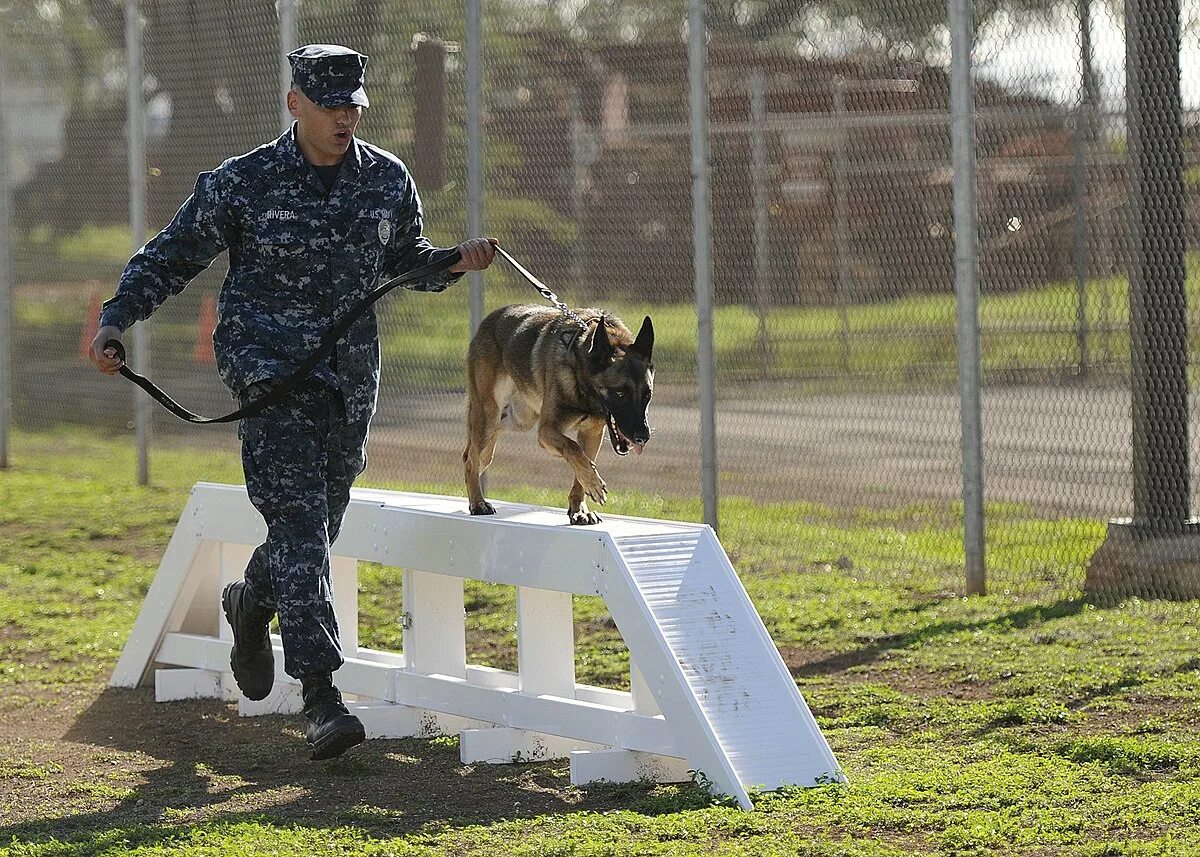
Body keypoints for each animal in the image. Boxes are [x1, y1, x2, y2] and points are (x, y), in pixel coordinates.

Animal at [463, 303, 657, 523]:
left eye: (647, 394)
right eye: (620, 393)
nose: (643, 437)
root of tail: (488, 321)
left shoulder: (591, 434)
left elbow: (583, 464)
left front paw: (580, 509)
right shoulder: (547, 430)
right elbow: (573, 448)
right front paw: (594, 483)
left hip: (514, 421)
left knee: (476, 455)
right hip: (488, 418)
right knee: (471, 461)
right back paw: (478, 503)